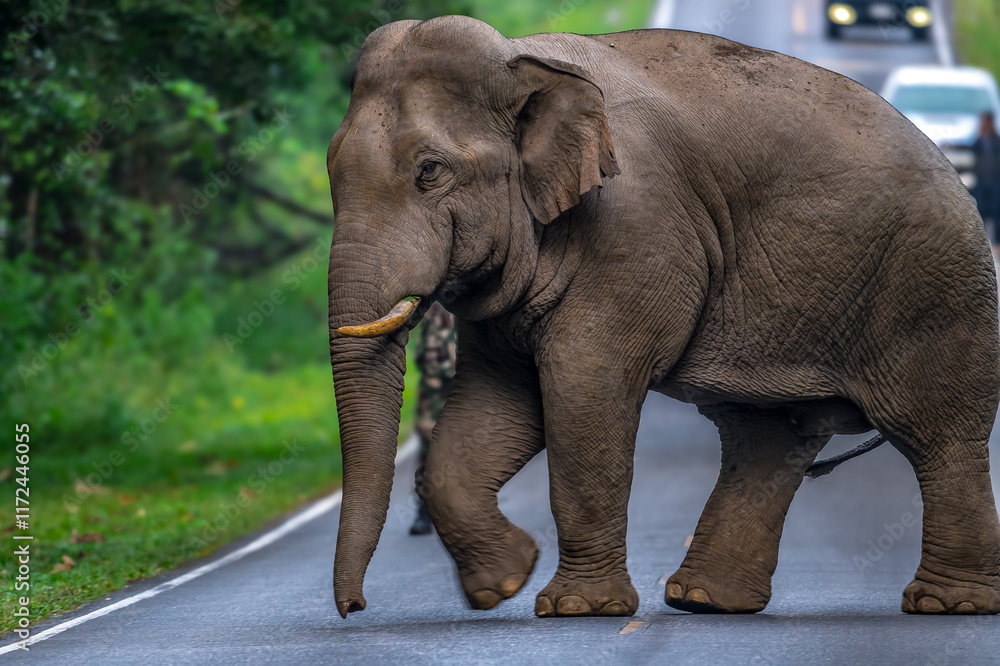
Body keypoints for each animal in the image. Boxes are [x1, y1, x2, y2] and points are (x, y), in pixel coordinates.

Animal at [326, 15, 1000, 619]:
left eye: (430, 172)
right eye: (331, 170)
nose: (355, 608)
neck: (523, 58)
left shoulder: (637, 226)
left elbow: (584, 388)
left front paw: (576, 609)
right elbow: (495, 408)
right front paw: (504, 583)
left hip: (934, 288)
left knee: (937, 436)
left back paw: (948, 604)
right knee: (767, 440)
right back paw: (704, 601)